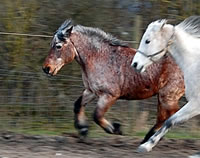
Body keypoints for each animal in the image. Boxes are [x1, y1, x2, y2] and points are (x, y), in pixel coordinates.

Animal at [42, 20, 184, 144]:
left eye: (58, 46)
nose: (46, 68)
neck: (99, 57)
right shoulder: (91, 91)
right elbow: (77, 105)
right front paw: (83, 130)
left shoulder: (109, 95)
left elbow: (97, 115)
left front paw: (115, 128)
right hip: (163, 97)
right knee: (164, 117)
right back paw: (149, 138)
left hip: (168, 97)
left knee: (171, 115)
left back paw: (150, 138)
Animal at [131, 15, 200, 152]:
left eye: (147, 41)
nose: (135, 64)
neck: (194, 62)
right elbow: (170, 120)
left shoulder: (195, 103)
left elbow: (169, 121)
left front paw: (146, 146)